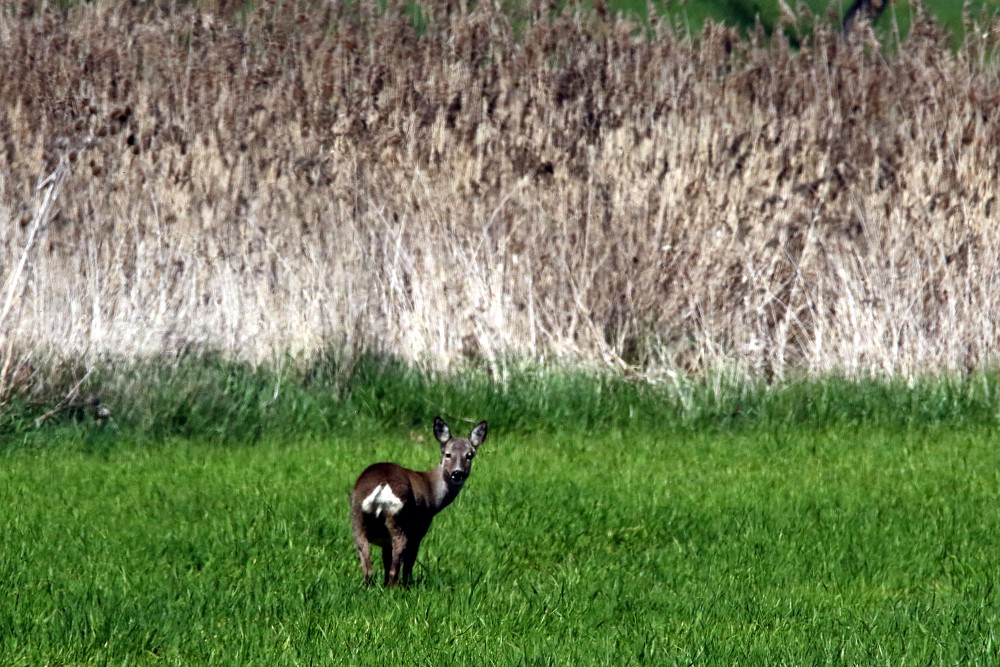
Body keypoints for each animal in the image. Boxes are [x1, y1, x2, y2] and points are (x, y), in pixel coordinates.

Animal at [352, 420, 488, 588]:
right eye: (447, 454)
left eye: (469, 455)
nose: (457, 473)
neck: (432, 491)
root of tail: (382, 485)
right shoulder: (420, 528)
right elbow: (408, 562)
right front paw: (408, 585)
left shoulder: (385, 541)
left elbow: (386, 562)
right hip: (400, 517)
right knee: (397, 560)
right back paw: (395, 587)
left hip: (357, 517)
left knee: (368, 566)